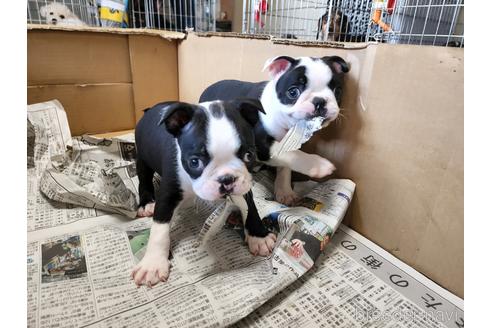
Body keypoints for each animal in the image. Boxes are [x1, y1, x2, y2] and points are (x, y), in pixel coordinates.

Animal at [131, 100, 276, 288]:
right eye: (195, 162)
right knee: (144, 179)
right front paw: (152, 264)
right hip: (141, 157)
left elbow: (250, 207)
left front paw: (259, 236)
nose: (226, 179)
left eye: (248, 155)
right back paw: (147, 203)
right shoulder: (169, 192)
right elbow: (159, 227)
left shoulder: (243, 185)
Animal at [200, 56, 350, 205]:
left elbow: (285, 166)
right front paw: (317, 165)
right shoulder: (261, 144)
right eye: (293, 92)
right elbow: (292, 154)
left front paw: (285, 191)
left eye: (337, 91)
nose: (319, 101)